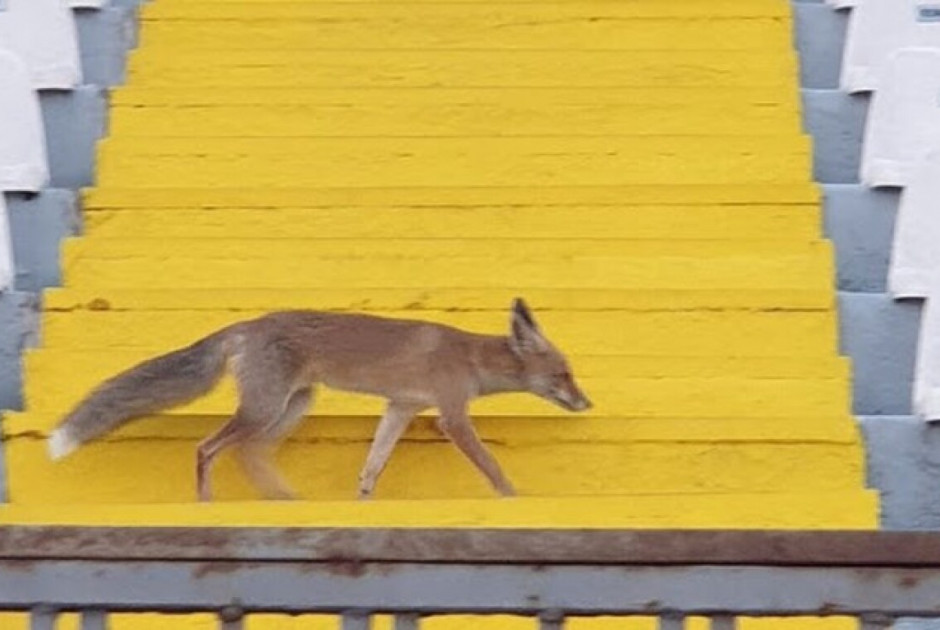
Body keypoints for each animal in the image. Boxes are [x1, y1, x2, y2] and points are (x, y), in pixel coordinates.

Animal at [47, 300, 592, 504]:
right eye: (564, 375)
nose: (586, 402)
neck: (470, 358)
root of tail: (247, 325)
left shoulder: (400, 408)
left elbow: (373, 465)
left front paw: (363, 502)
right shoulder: (451, 417)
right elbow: (491, 465)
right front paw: (513, 498)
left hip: (291, 407)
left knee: (249, 454)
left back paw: (283, 500)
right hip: (265, 409)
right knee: (207, 448)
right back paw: (206, 504)